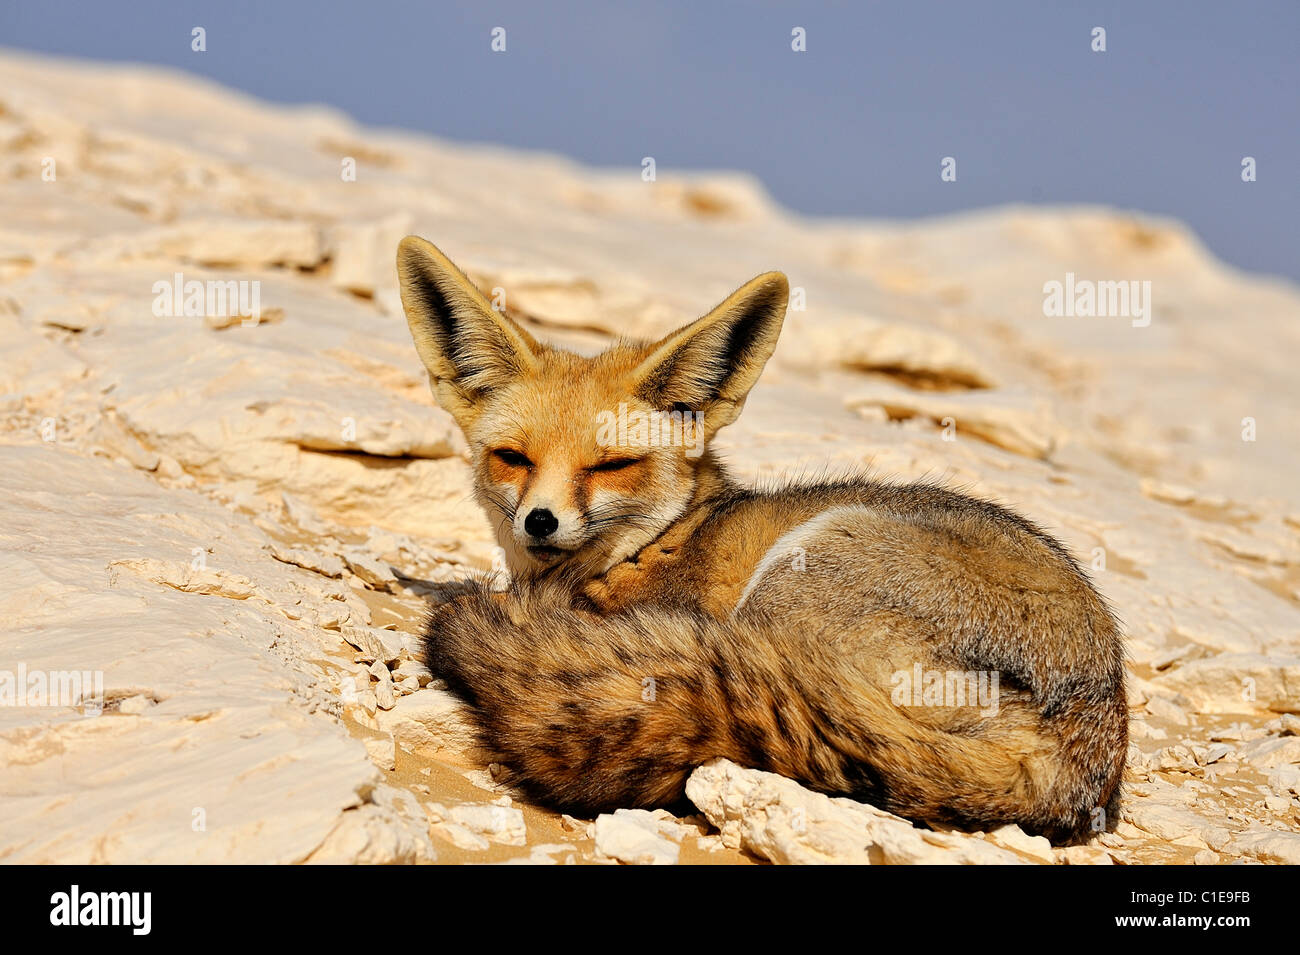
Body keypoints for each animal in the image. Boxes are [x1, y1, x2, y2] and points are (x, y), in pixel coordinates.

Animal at [395, 233, 1128, 841]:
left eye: (610, 465)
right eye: (513, 458)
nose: (540, 521)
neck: (661, 540)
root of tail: (1085, 740)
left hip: (808, 562)